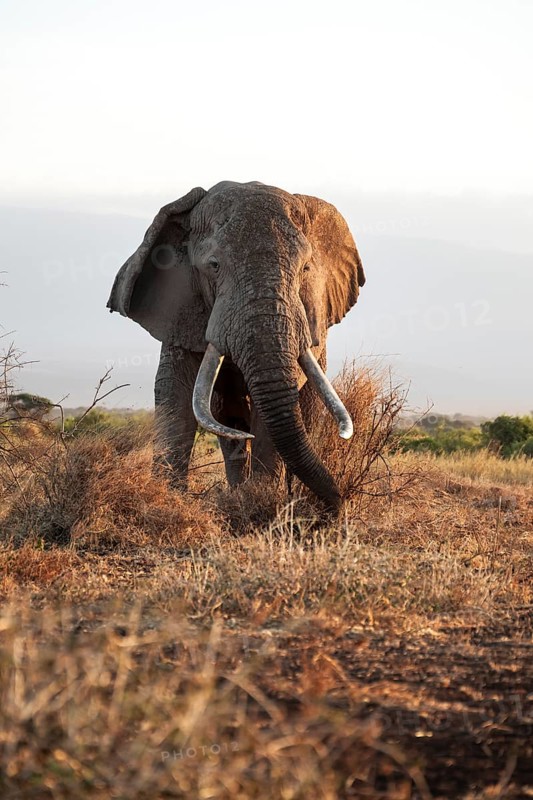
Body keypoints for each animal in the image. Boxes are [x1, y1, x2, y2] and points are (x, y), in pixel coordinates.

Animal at [107, 181, 365, 512]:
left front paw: (262, 500)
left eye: (306, 268)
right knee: (225, 413)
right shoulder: (180, 307)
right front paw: (167, 500)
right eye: (214, 266)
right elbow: (175, 391)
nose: (338, 506)